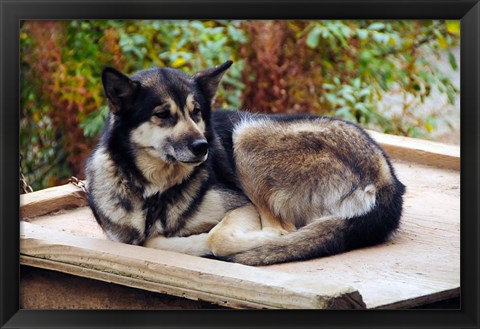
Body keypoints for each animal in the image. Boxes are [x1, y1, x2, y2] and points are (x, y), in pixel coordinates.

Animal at [86, 60, 404, 266]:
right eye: (162, 115)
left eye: (196, 112)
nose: (203, 147)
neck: (156, 192)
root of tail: (388, 180)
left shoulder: (242, 205)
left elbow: (214, 238)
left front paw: (202, 243)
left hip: (247, 134)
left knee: (282, 230)